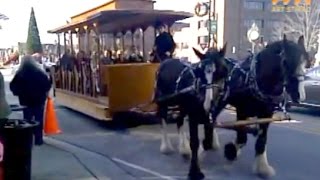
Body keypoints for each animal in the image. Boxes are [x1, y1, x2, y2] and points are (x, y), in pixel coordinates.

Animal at [154, 44, 230, 179]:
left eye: (224, 71)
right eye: (199, 72)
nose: (208, 104)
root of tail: (165, 61)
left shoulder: (210, 117)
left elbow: (207, 141)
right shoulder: (193, 117)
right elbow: (194, 142)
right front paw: (195, 171)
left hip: (182, 105)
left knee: (179, 120)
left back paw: (184, 149)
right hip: (163, 101)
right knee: (162, 118)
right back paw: (166, 147)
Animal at [210, 35, 310, 179]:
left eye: (306, 62)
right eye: (285, 62)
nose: (300, 95)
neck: (256, 80)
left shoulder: (266, 113)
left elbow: (261, 140)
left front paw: (263, 168)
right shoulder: (242, 110)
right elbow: (242, 138)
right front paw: (231, 151)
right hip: (218, 100)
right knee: (211, 118)